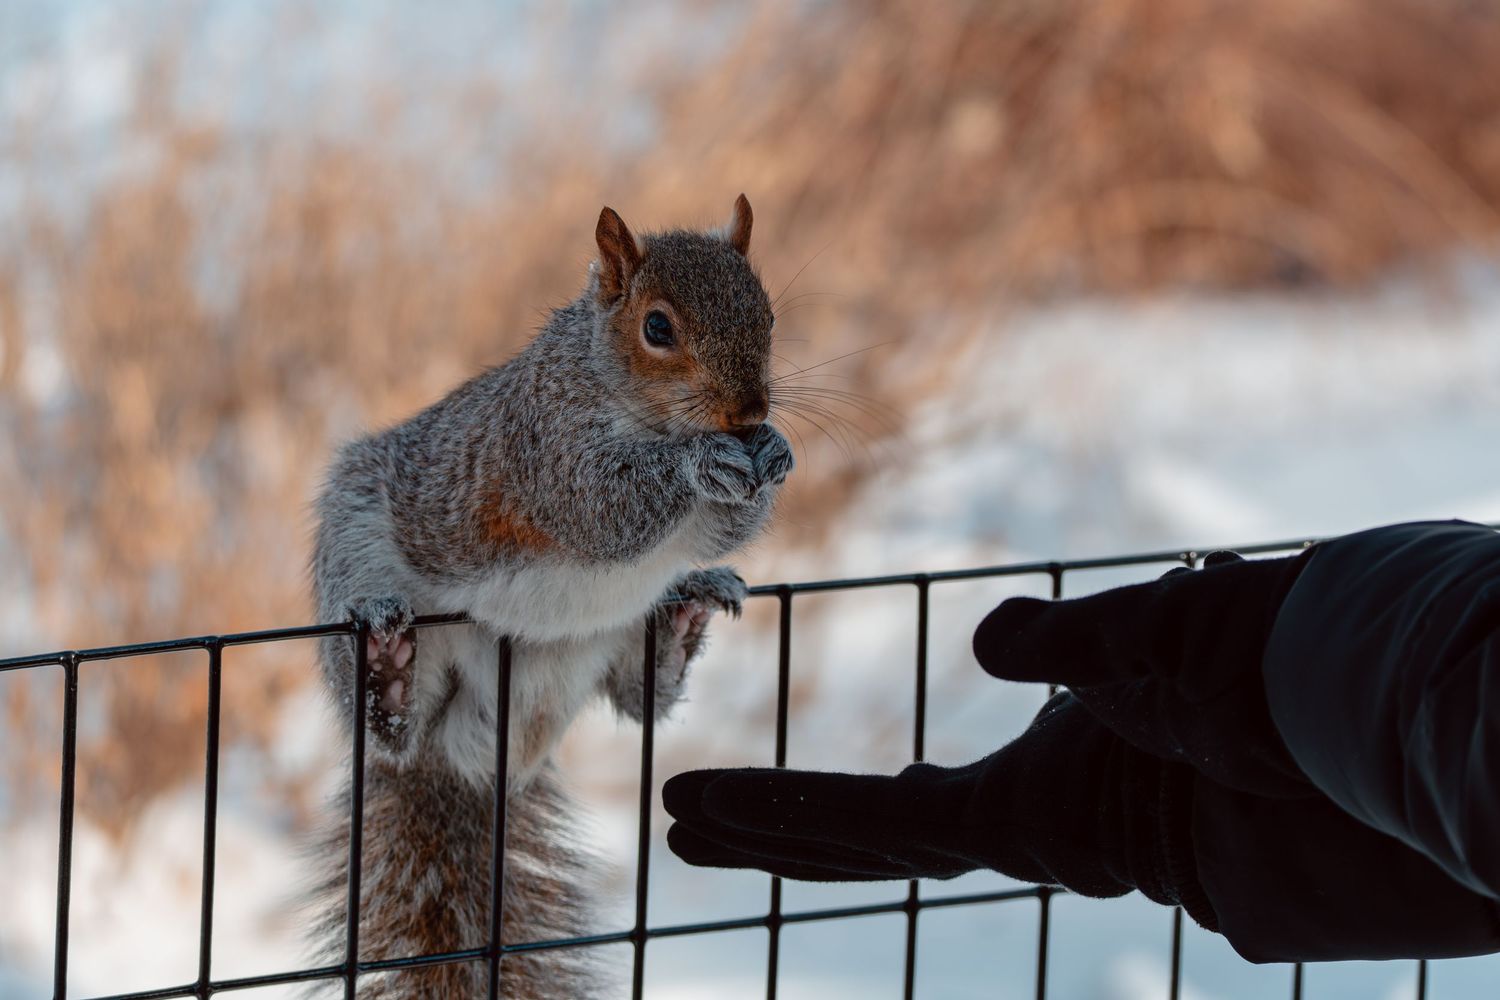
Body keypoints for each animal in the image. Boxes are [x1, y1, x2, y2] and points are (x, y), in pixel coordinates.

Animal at [303, 195, 791, 998]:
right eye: (658, 328)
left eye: (769, 313)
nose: (750, 413)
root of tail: (470, 764)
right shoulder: (546, 451)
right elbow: (604, 507)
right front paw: (701, 460)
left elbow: (721, 530)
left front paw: (775, 452)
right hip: (364, 549)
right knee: (390, 729)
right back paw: (386, 667)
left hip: (609, 642)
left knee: (641, 697)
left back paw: (685, 614)